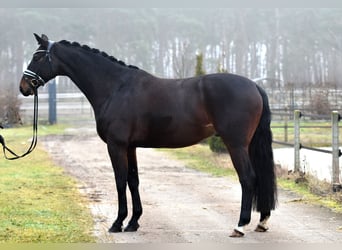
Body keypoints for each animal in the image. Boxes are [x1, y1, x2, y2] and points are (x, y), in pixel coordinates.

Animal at [19, 33, 278, 238]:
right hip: (248, 144)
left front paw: (117, 223)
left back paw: (240, 226)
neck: (116, 87)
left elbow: (120, 180)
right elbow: (133, 180)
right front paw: (133, 222)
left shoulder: (116, 145)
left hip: (236, 145)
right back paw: (262, 222)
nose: (24, 87)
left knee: (248, 178)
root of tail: (255, 86)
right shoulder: (130, 147)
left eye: (38, 57)